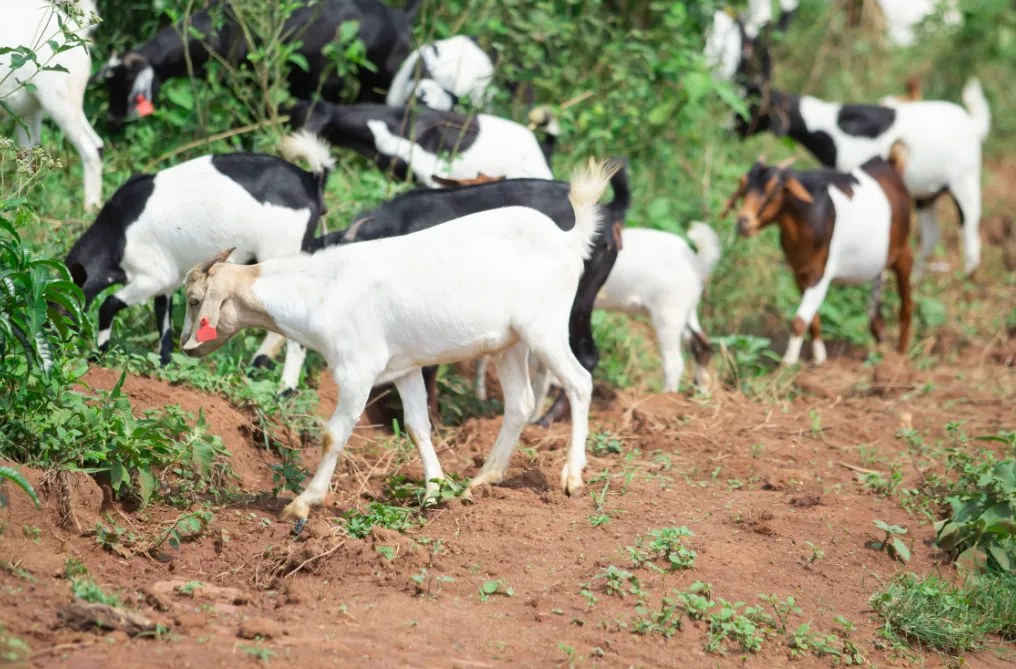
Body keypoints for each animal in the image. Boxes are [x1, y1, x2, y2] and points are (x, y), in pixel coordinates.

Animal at [65, 139, 334, 391]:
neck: (117, 232)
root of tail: (310, 180)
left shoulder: (153, 275)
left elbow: (108, 305)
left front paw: (98, 355)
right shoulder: (170, 280)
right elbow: (163, 316)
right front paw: (164, 362)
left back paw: (285, 387)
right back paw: (259, 365)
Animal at [180, 160, 617, 529]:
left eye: (194, 300)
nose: (185, 347)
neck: (321, 290)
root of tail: (568, 238)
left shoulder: (358, 371)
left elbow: (334, 433)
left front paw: (303, 503)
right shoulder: (404, 369)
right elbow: (416, 426)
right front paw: (435, 492)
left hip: (545, 328)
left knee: (579, 382)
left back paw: (572, 477)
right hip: (509, 343)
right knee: (520, 403)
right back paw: (483, 479)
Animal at [720, 146, 913, 367]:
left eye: (775, 189)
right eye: (743, 186)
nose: (744, 222)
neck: (808, 216)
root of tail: (890, 164)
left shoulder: (821, 273)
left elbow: (799, 321)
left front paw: (787, 364)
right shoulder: (799, 272)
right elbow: (812, 318)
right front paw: (819, 358)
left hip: (903, 251)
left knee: (907, 304)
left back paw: (900, 355)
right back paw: (879, 332)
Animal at [735, 74, 990, 278]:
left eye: (753, 106)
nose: (730, 129)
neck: (831, 129)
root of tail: (973, 124)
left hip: (964, 179)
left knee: (971, 231)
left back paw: (967, 280)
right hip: (927, 193)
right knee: (931, 236)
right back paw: (916, 279)